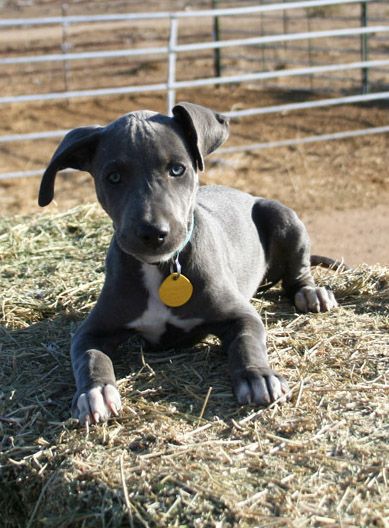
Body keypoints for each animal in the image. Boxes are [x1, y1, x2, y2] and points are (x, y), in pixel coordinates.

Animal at [40, 102, 336, 424]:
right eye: (114, 177)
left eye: (177, 169)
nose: (153, 232)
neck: (163, 268)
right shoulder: (92, 331)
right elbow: (90, 357)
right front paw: (96, 392)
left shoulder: (240, 314)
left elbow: (247, 341)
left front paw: (257, 376)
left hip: (281, 214)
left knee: (298, 272)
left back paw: (311, 293)